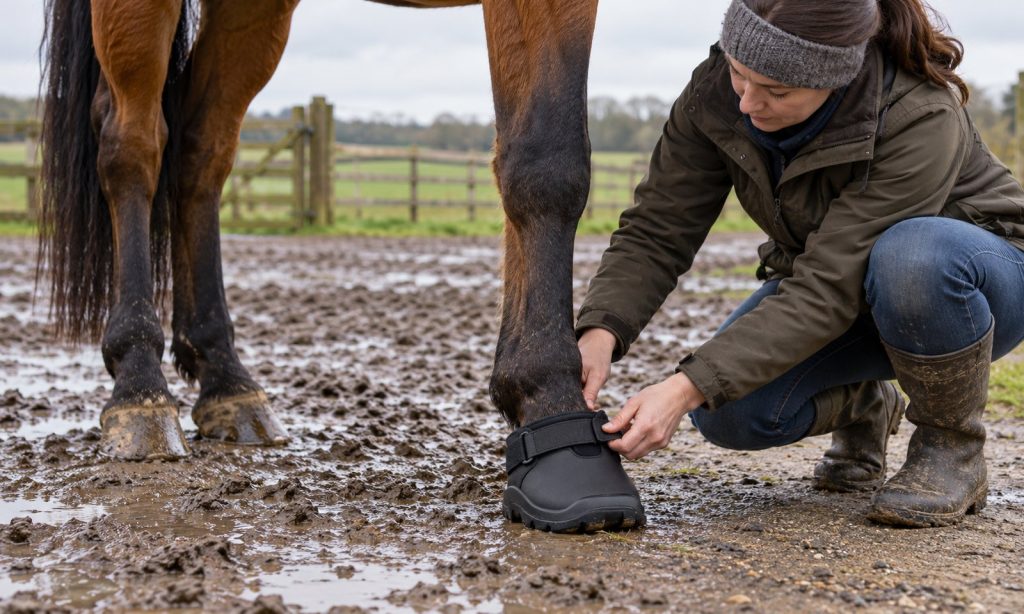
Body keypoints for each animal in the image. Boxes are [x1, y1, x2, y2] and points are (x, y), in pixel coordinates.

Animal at [40, 0, 640, 532]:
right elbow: (546, 162)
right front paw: (552, 404)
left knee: (200, 149)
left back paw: (227, 381)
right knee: (133, 143)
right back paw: (140, 387)